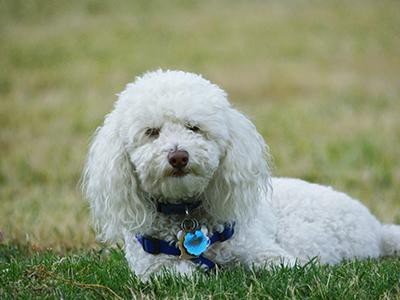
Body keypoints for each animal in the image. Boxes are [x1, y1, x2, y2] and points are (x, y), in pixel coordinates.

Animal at [83, 69, 398, 280]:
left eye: (194, 127)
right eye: (151, 132)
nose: (178, 156)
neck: (186, 216)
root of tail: (376, 227)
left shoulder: (270, 255)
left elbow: (274, 264)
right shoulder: (153, 269)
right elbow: (179, 272)